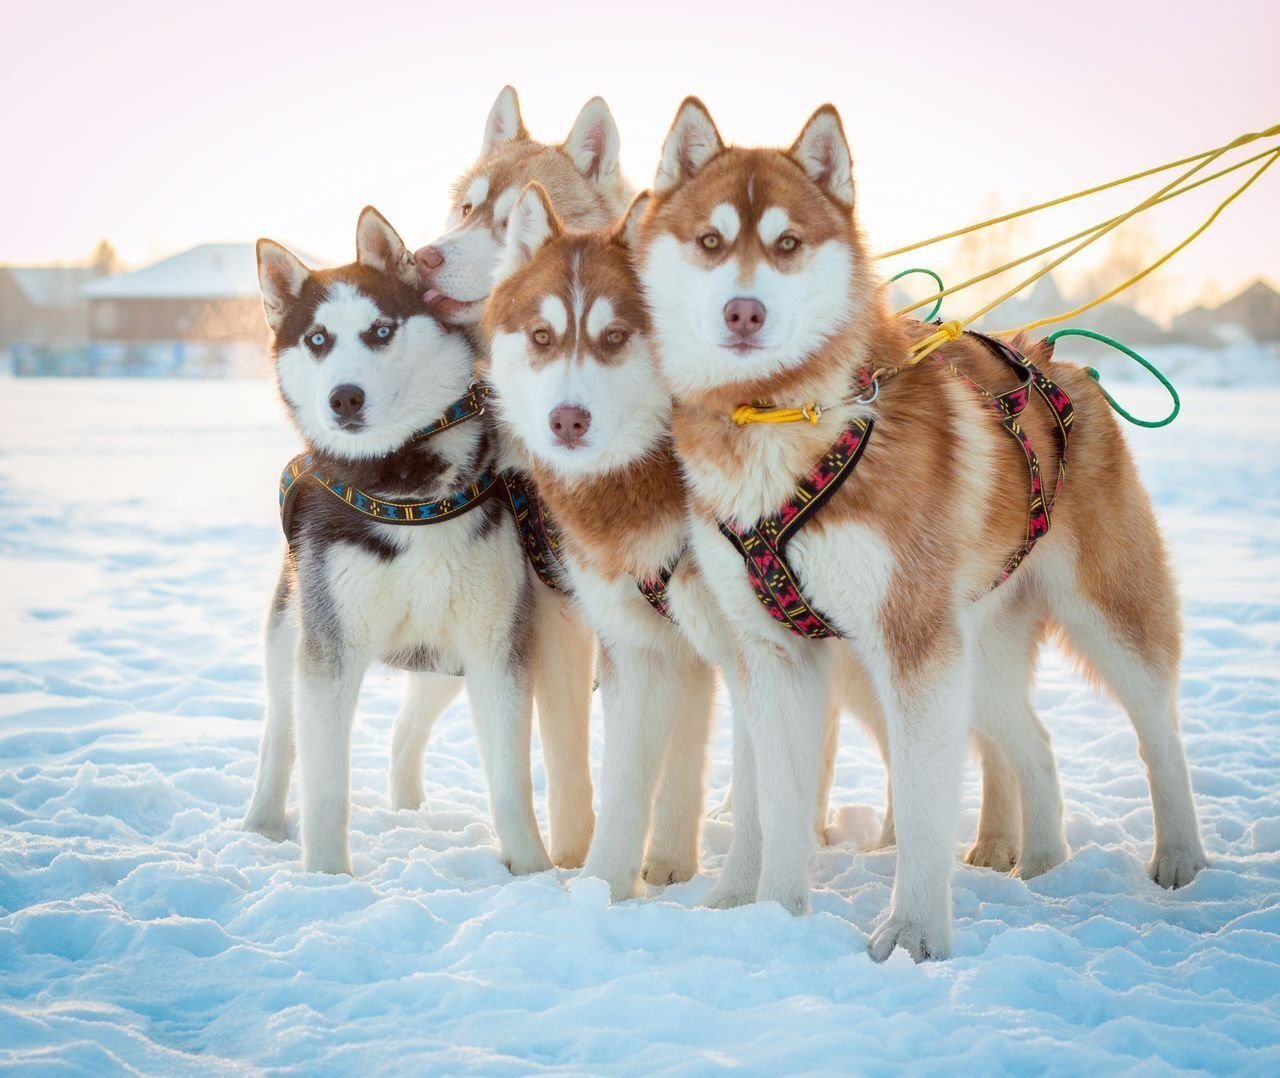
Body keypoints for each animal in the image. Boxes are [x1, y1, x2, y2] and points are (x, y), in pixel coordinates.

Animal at [241, 203, 552, 875]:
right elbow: (326, 785)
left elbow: (510, 782)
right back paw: (261, 824)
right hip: (290, 633)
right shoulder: (329, 655)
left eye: (381, 331)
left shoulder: (496, 648)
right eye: (317, 339)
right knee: (280, 736)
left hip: (443, 661)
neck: (407, 491)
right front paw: (327, 878)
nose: (344, 397)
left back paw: (409, 810)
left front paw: (535, 872)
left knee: (403, 732)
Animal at [640, 101, 1208, 957]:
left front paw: (912, 932)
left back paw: (1179, 857)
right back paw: (1045, 863)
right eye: (710, 241)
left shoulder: (911, 647)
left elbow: (920, 805)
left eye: (786, 244)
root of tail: (1061, 361)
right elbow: (777, 804)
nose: (745, 311)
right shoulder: (777, 657)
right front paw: (775, 917)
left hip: (1103, 616)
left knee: (1159, 731)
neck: (783, 422)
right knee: (1034, 743)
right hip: (976, 654)